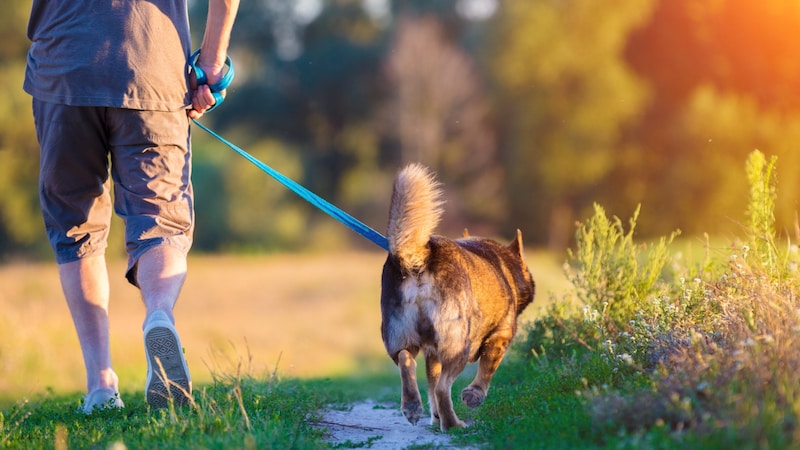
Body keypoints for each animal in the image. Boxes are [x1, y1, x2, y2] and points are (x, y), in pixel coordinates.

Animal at [378, 163, 536, 430]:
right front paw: (474, 395)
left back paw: (413, 407)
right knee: (443, 387)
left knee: (407, 361)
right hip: (458, 343)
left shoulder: (431, 353)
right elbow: (487, 370)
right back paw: (453, 424)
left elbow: (431, 382)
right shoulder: (500, 337)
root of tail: (420, 256)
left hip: (399, 334)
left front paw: (435, 416)